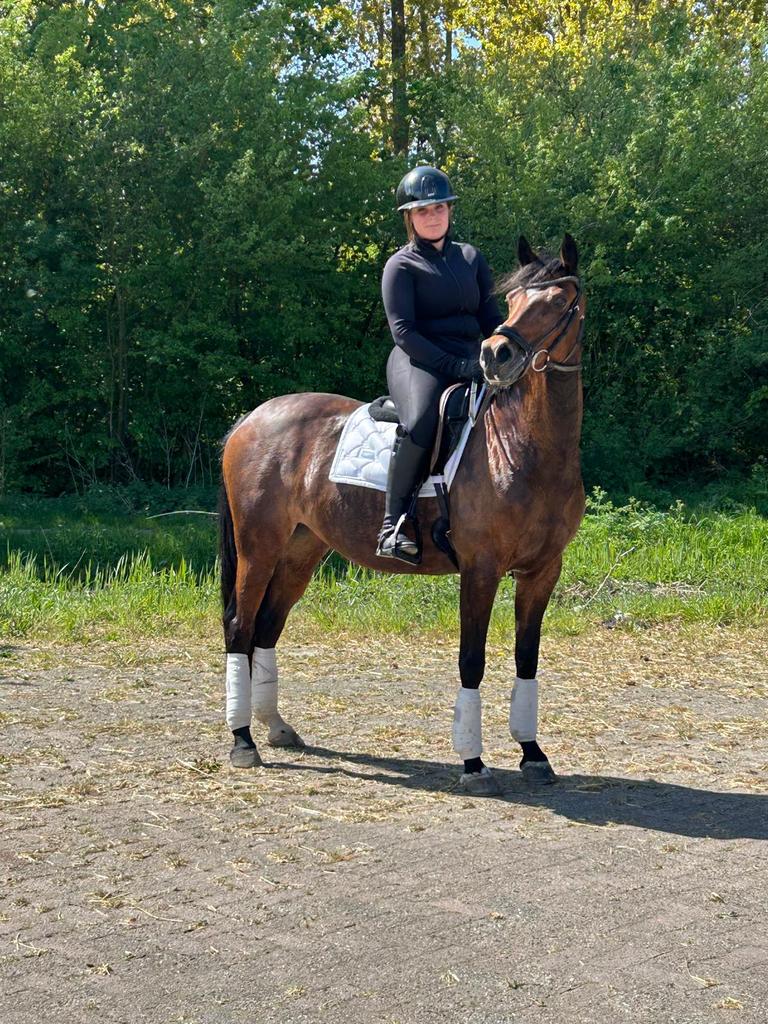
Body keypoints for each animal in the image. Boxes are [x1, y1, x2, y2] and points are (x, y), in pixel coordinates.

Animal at [218, 233, 586, 796]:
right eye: (514, 300)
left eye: (559, 302)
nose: (494, 355)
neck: (524, 448)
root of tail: (251, 418)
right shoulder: (480, 571)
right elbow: (471, 659)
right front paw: (473, 763)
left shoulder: (543, 571)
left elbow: (527, 657)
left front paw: (532, 753)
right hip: (258, 548)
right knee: (240, 626)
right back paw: (243, 741)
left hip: (301, 550)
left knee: (266, 628)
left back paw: (275, 728)